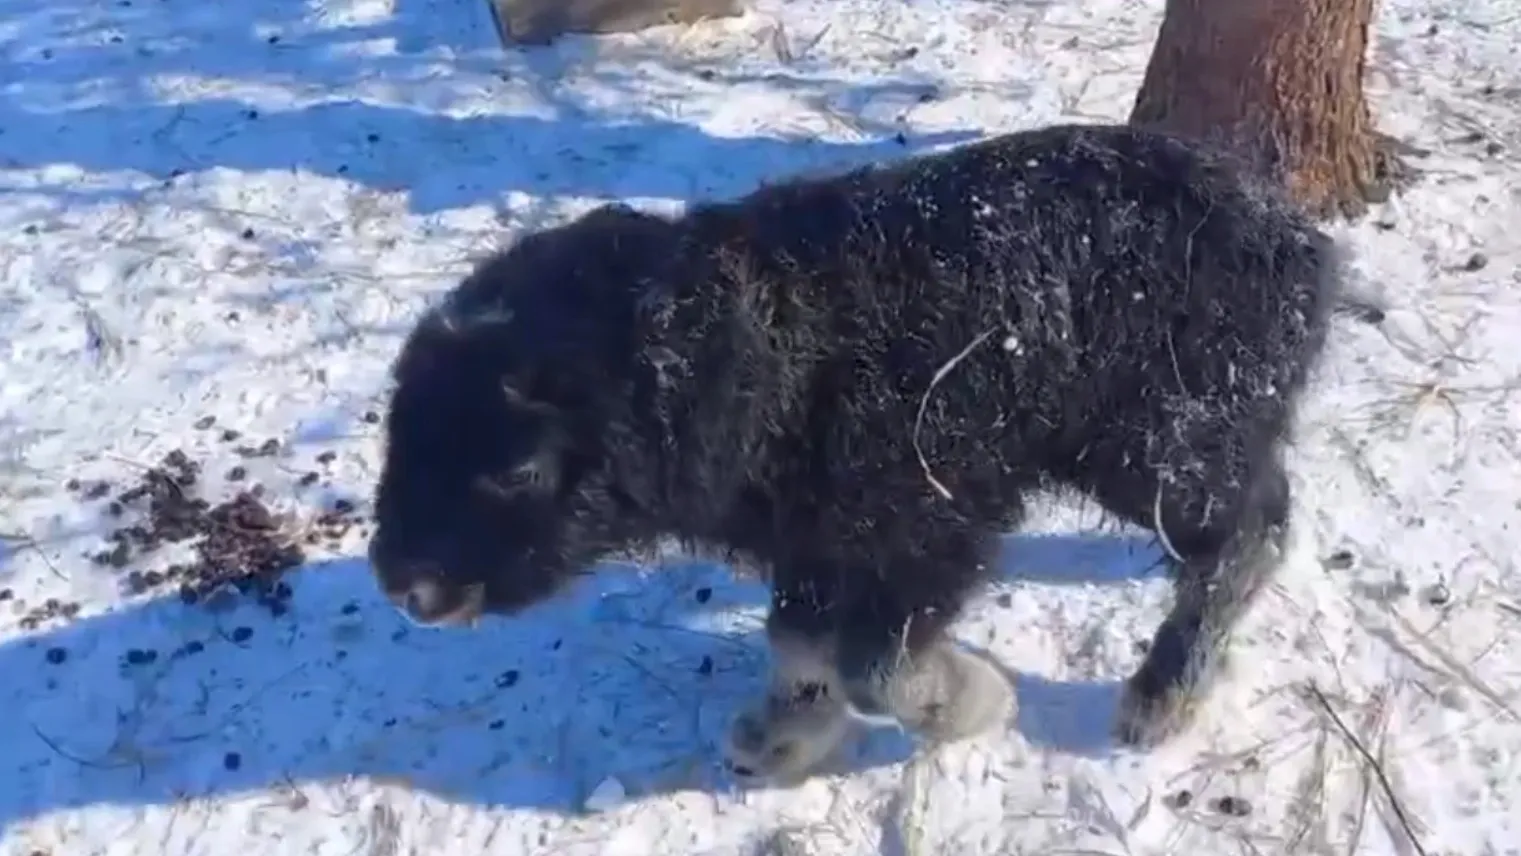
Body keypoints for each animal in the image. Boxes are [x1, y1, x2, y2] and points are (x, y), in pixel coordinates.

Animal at [374, 120, 1350, 784]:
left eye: (518, 470)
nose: (406, 588)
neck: (760, 346)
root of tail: (1301, 245)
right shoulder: (815, 535)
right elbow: (799, 642)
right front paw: (782, 739)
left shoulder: (933, 518)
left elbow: (873, 668)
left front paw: (979, 704)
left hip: (1155, 438)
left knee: (1246, 531)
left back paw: (1161, 696)